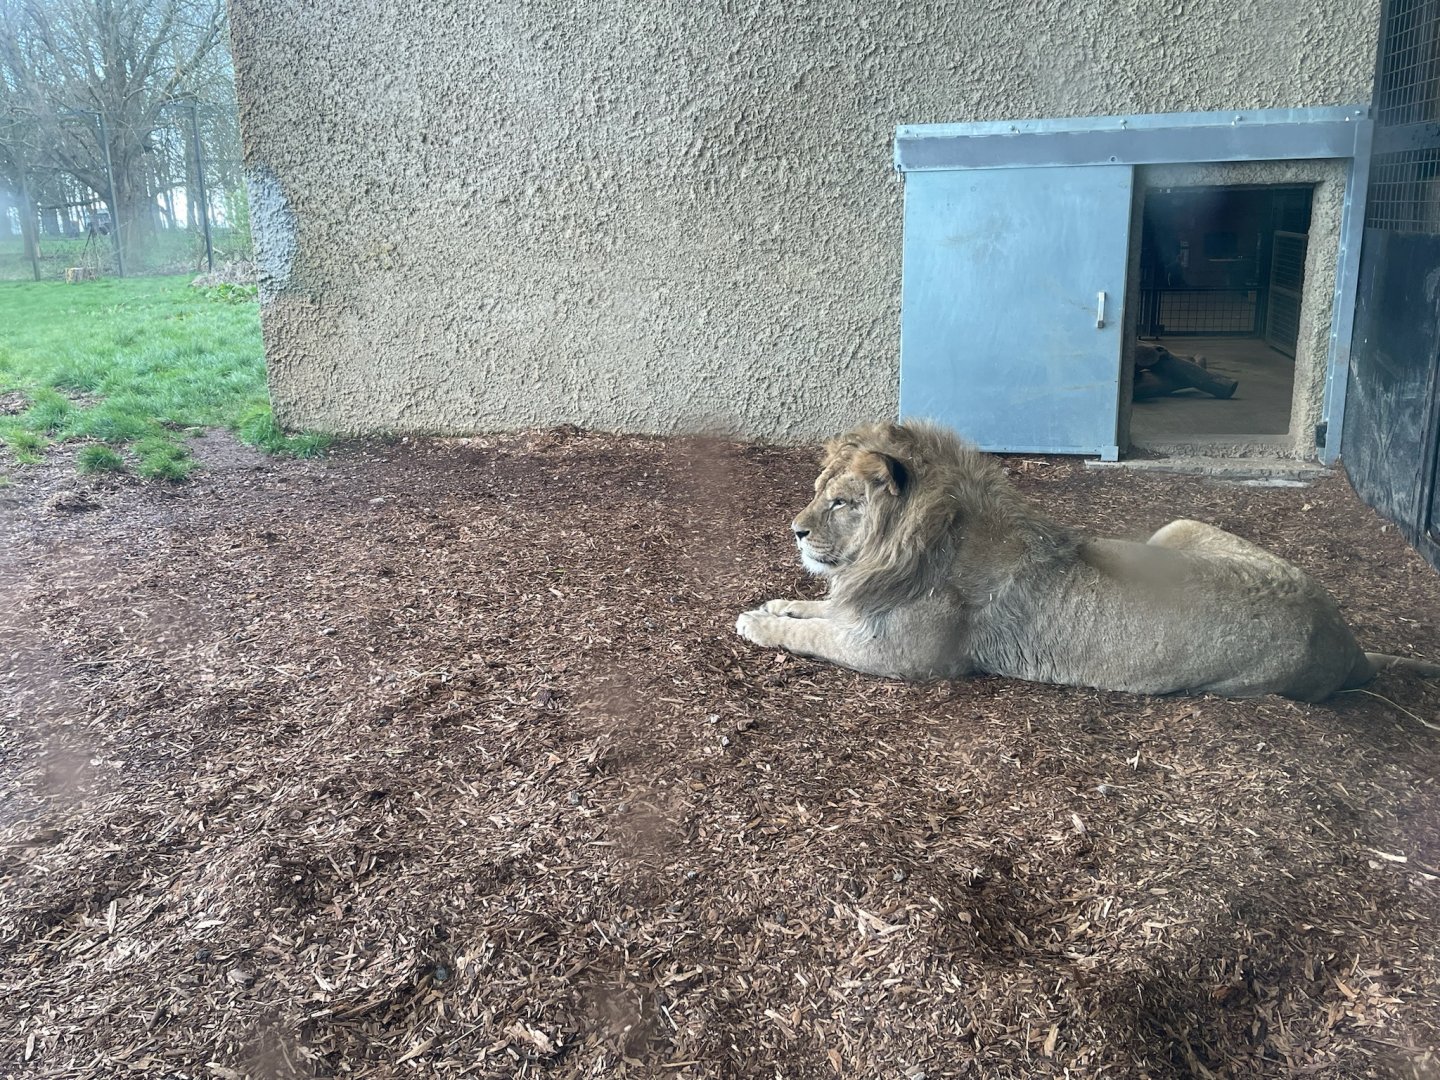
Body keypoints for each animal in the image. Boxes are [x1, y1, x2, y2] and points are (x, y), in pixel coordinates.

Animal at [735, 420, 1440, 702]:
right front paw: (777, 601)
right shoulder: (863, 607)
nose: (795, 531)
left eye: (843, 502)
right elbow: (819, 607)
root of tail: (1347, 640)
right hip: (1177, 527)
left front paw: (757, 623)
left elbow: (816, 635)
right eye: (817, 491)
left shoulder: (904, 657)